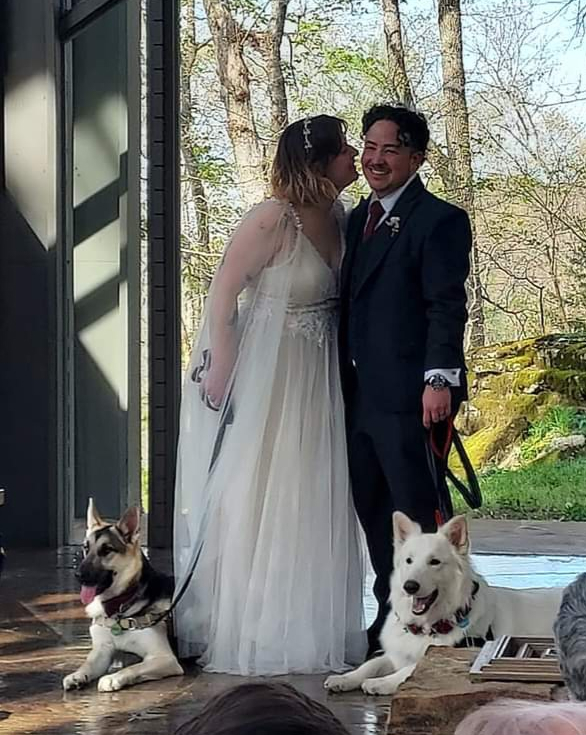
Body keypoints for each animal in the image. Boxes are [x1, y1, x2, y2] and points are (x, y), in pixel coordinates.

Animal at [63, 498, 182, 692]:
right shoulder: (102, 652)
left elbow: (134, 667)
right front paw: (78, 675)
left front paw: (113, 678)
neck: (120, 607)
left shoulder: (165, 658)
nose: (78, 575)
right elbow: (88, 663)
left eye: (107, 550)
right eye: (85, 548)